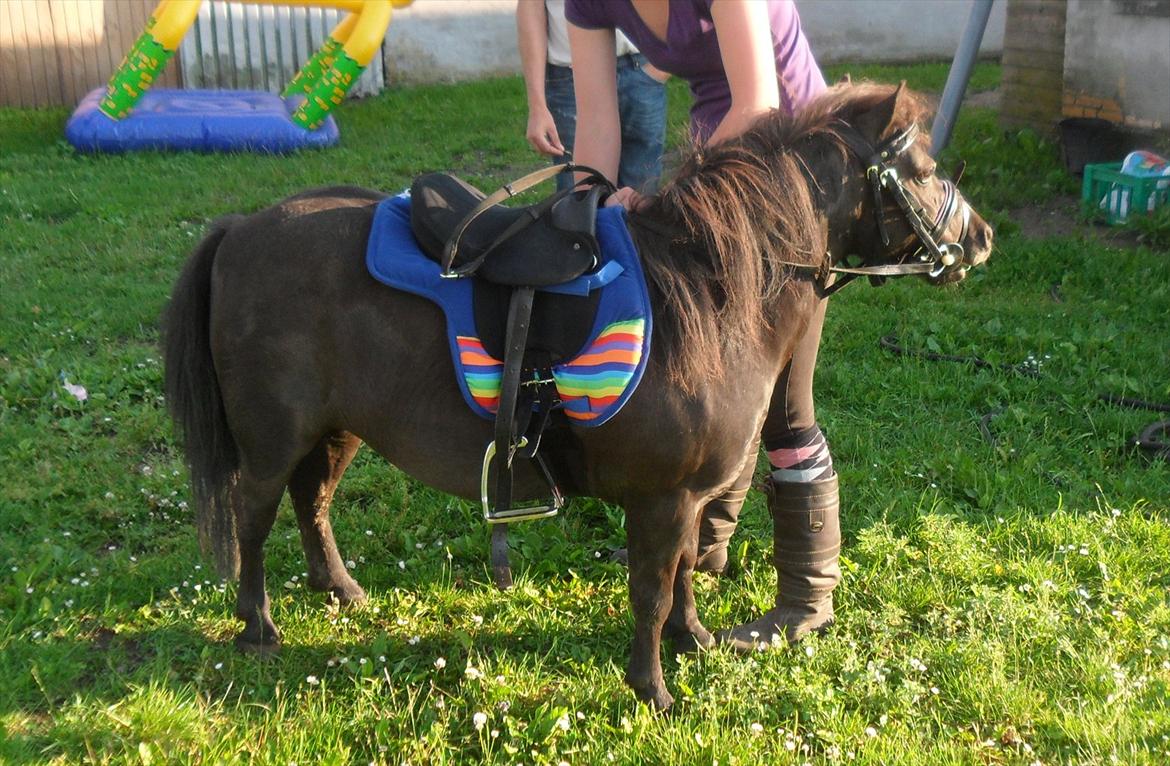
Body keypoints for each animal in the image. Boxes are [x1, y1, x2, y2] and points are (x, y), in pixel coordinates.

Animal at [162, 80, 987, 711]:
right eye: (921, 166)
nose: (977, 240)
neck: (709, 287)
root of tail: (241, 229)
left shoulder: (688, 498)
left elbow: (685, 574)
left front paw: (694, 641)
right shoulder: (661, 499)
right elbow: (652, 590)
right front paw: (653, 690)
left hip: (337, 429)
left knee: (314, 502)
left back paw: (338, 589)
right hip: (272, 439)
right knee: (253, 519)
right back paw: (257, 627)